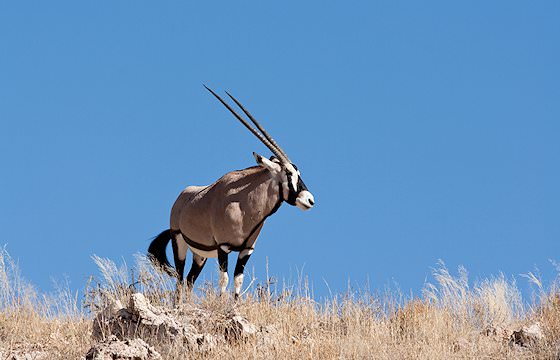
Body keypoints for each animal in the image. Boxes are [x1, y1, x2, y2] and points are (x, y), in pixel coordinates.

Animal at [149, 86, 316, 298]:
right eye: (288, 173)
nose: (310, 200)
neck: (245, 205)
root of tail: (181, 198)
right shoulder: (224, 247)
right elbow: (224, 280)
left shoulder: (246, 250)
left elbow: (238, 281)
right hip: (179, 242)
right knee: (179, 280)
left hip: (200, 255)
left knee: (189, 280)